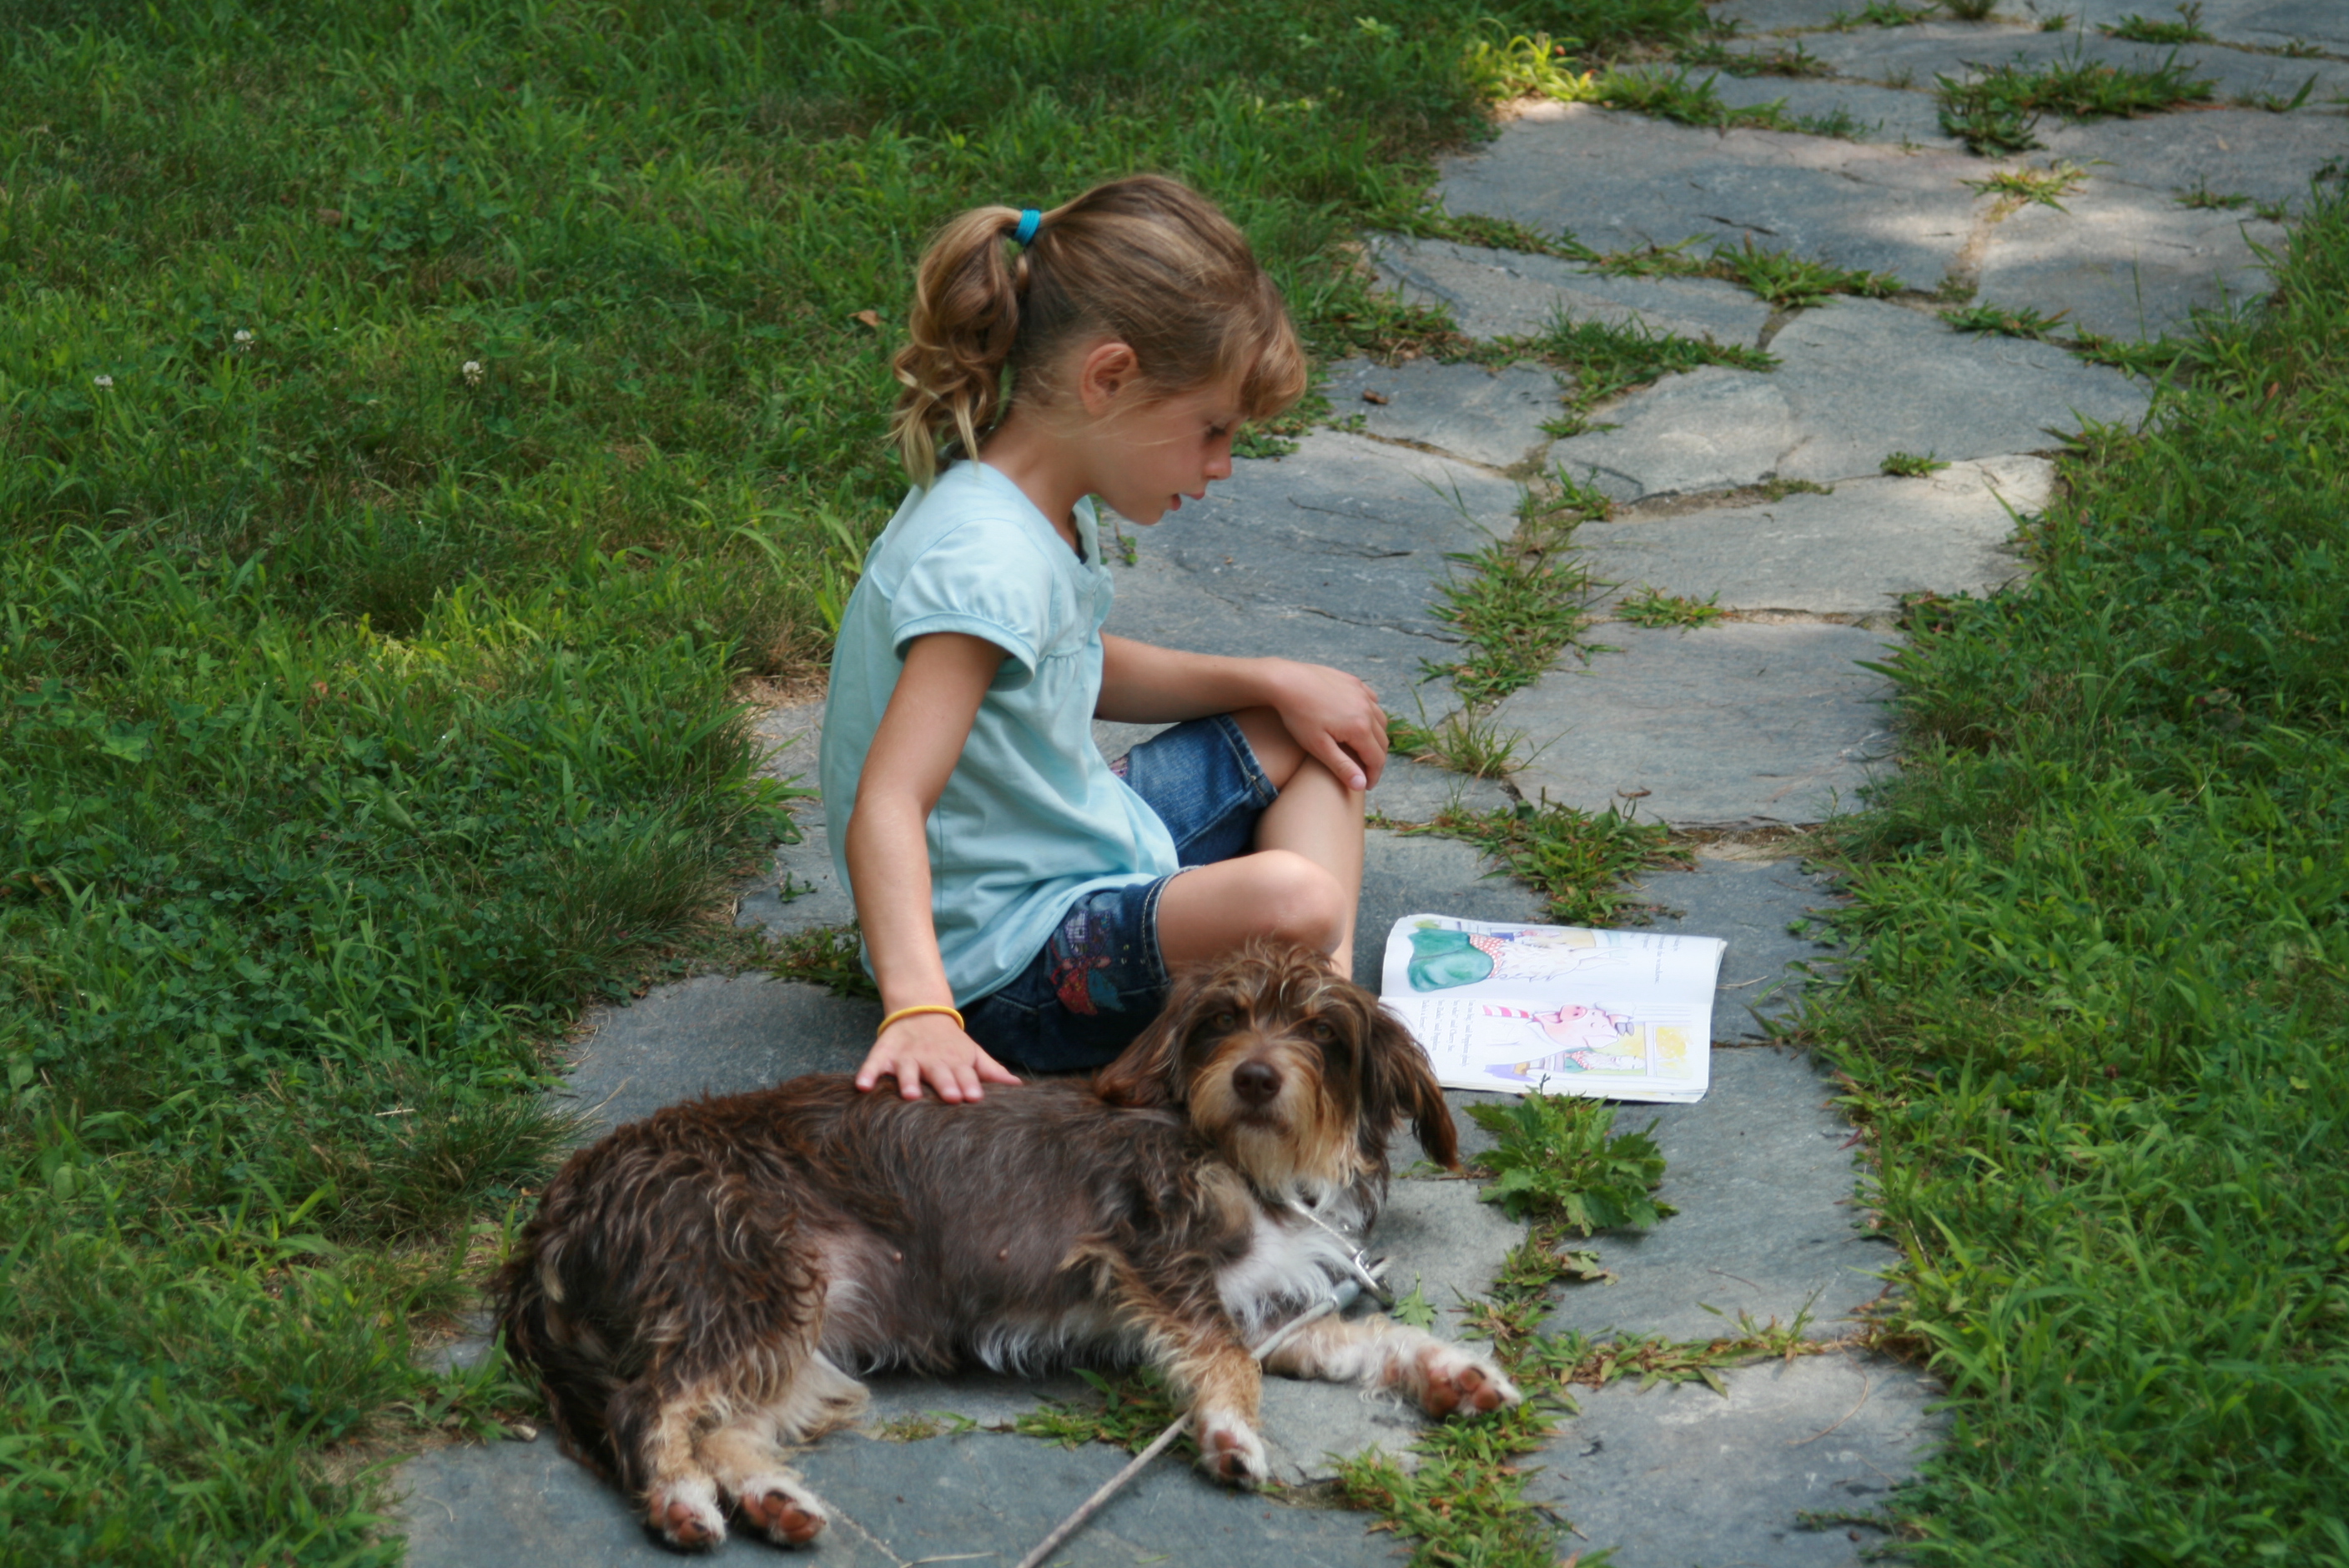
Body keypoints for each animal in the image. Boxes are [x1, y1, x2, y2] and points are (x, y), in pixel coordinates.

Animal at [495, 942, 1522, 1551]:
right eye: (1223, 1020)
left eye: (1321, 1030)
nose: (1257, 1077)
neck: (1267, 1169)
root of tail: (560, 1202)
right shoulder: (1148, 1245)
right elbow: (1226, 1362)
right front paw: (1230, 1433)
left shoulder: (1276, 1308)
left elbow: (1368, 1340)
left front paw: (1454, 1372)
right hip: (749, 1283)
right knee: (646, 1407)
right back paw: (679, 1499)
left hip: (799, 1338)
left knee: (727, 1425)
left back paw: (767, 1500)